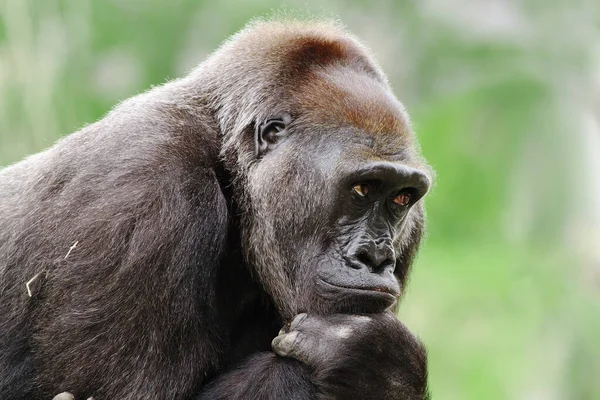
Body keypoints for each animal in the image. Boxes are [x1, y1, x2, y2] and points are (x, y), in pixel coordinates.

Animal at [0, 18, 432, 400]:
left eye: (400, 198)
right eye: (362, 188)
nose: (376, 258)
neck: (227, 159)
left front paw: (381, 368)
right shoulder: (147, 189)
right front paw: (376, 361)